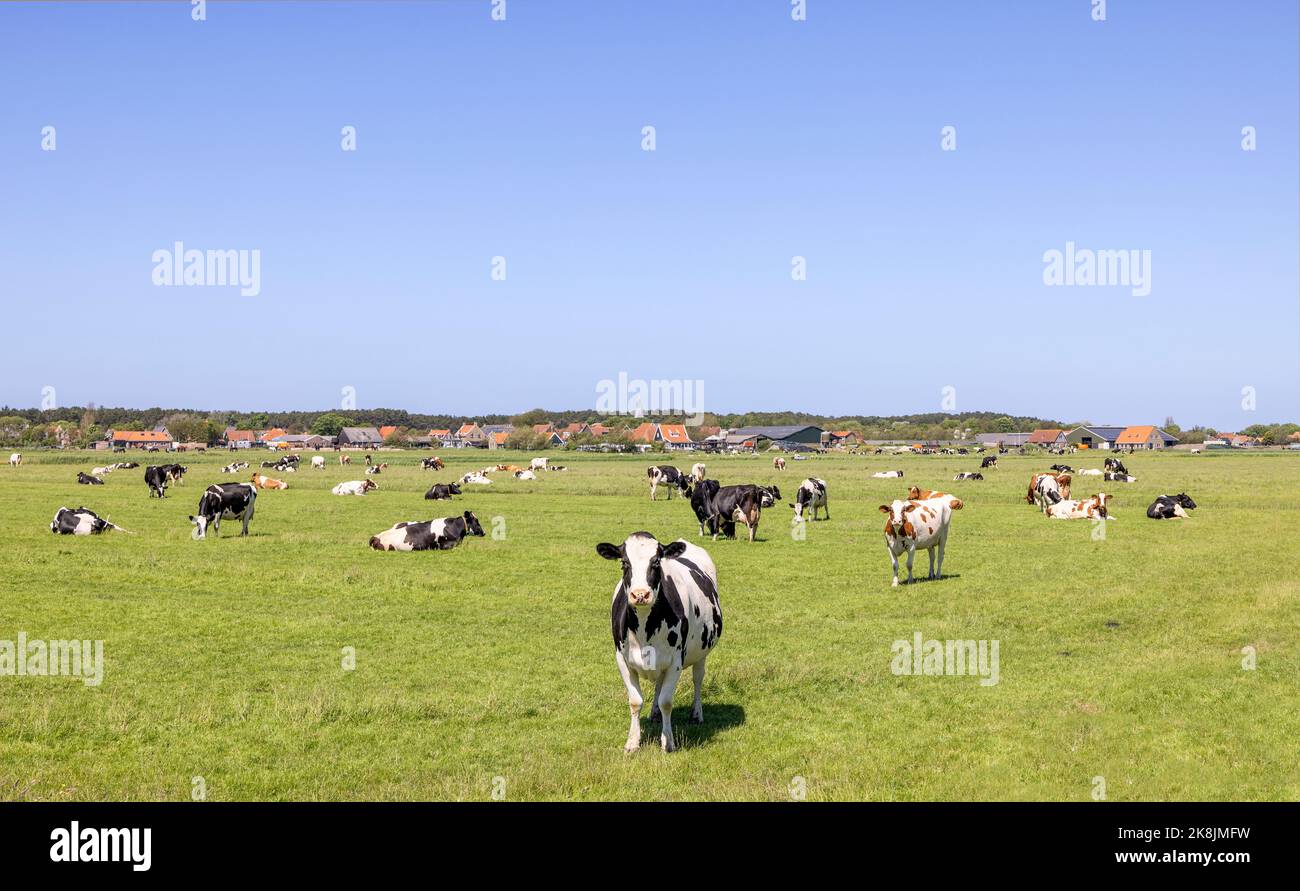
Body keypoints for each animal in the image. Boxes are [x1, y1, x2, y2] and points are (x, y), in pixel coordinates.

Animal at [596, 532, 722, 753]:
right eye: (624, 563)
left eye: (656, 562)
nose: (640, 594)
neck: (645, 629)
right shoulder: (622, 660)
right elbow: (635, 701)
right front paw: (632, 742)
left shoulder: (675, 662)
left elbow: (666, 701)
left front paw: (668, 741)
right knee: (659, 685)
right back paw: (654, 714)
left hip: (702, 652)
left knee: (697, 679)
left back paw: (696, 714)